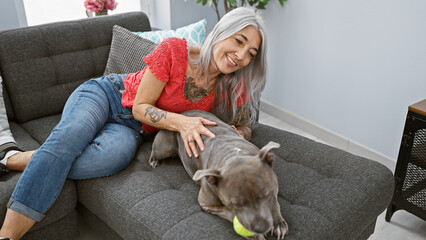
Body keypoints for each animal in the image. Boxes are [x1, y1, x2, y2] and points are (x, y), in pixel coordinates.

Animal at [148, 109, 288, 239]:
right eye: (236, 204)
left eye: (267, 195)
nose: (260, 227)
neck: (233, 155)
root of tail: (181, 114)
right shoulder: (207, 203)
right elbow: (230, 213)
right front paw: (254, 235)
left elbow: (275, 204)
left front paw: (278, 224)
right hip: (164, 147)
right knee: (155, 152)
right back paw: (154, 161)